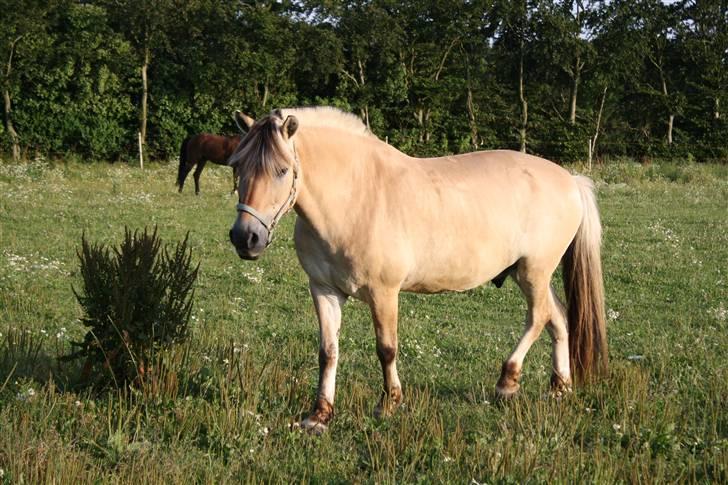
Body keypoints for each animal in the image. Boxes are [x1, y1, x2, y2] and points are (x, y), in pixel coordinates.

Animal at [229, 106, 608, 432]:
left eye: (281, 170)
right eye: (237, 167)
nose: (245, 237)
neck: (355, 198)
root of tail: (570, 180)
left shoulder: (384, 293)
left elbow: (386, 349)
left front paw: (389, 404)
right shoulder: (324, 290)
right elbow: (328, 352)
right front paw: (319, 415)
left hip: (534, 272)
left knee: (539, 317)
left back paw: (507, 382)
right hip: (527, 274)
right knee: (558, 319)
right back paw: (559, 386)